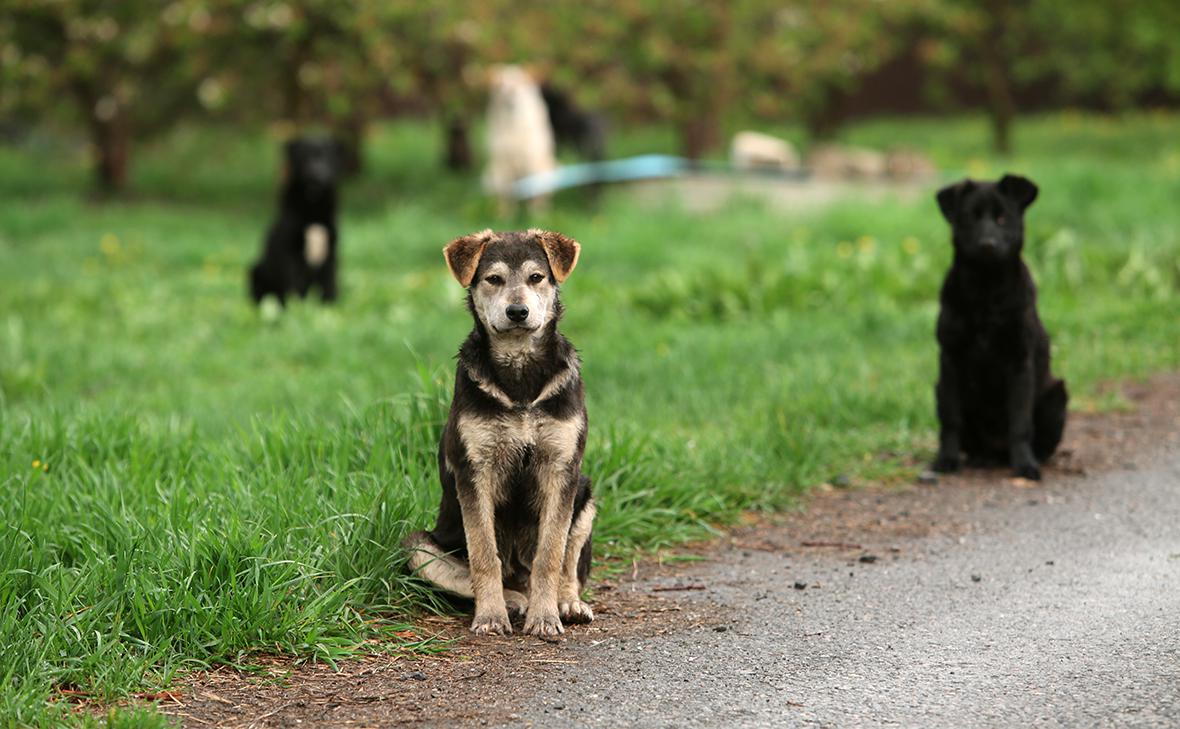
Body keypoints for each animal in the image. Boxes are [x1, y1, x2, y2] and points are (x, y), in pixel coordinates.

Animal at [248, 136, 342, 304]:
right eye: (305, 157)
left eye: (326, 157)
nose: (316, 174)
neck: (313, 209)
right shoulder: (290, 253)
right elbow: (294, 285)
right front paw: (297, 307)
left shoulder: (330, 254)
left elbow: (329, 285)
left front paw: (330, 306)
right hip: (255, 270)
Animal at [405, 228, 594, 636]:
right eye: (493, 279)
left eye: (537, 277)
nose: (517, 312)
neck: (520, 369)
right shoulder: (475, 470)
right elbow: (483, 554)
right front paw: (490, 616)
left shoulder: (561, 468)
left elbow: (551, 554)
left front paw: (545, 618)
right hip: (417, 547)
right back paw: (513, 601)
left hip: (586, 496)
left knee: (568, 563)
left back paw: (566, 603)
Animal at [929, 169, 1071, 476]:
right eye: (971, 217)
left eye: (1002, 218)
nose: (987, 245)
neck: (986, 292)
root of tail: (995, 451)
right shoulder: (950, 361)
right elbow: (951, 420)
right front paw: (946, 459)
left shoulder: (1019, 361)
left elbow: (1019, 422)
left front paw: (1025, 464)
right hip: (939, 389)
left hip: (1057, 395)